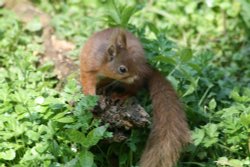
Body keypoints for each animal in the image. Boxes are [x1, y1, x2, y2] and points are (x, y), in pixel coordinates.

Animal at [80, 27, 189, 167]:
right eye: (122, 69)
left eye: (133, 61)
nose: (137, 75)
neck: (103, 65)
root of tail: (146, 69)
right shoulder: (89, 68)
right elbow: (87, 82)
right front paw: (91, 95)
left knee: (133, 90)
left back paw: (121, 95)